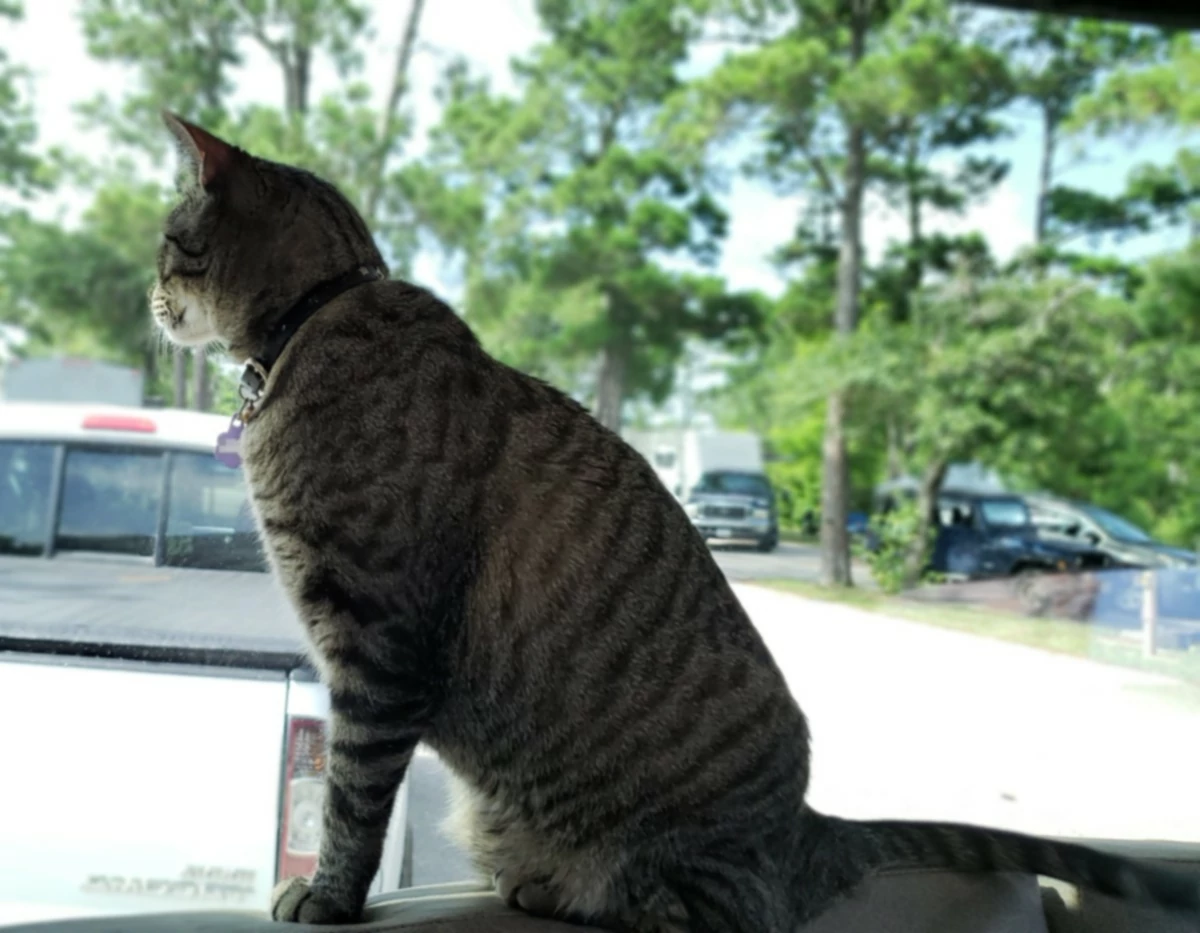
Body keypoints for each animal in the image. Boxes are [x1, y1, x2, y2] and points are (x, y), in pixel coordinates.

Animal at [152, 116, 1200, 930]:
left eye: (167, 239)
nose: (151, 298)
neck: (318, 316)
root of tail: (805, 825)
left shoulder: (379, 644)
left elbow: (351, 796)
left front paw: (328, 895)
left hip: (690, 864)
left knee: (711, 912)